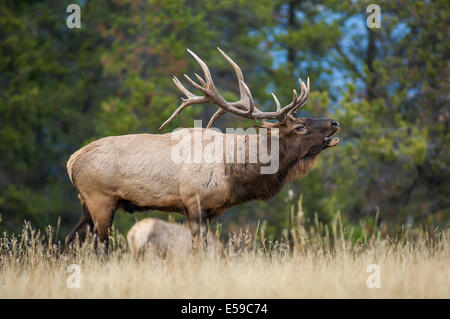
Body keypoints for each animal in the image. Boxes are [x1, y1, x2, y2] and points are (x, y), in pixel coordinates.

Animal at [65, 47, 340, 249]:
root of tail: (70, 162)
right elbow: (199, 248)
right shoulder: (193, 201)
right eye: (300, 127)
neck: (234, 171)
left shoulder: (210, 210)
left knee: (71, 238)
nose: (334, 122)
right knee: (99, 245)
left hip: (85, 202)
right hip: (100, 198)